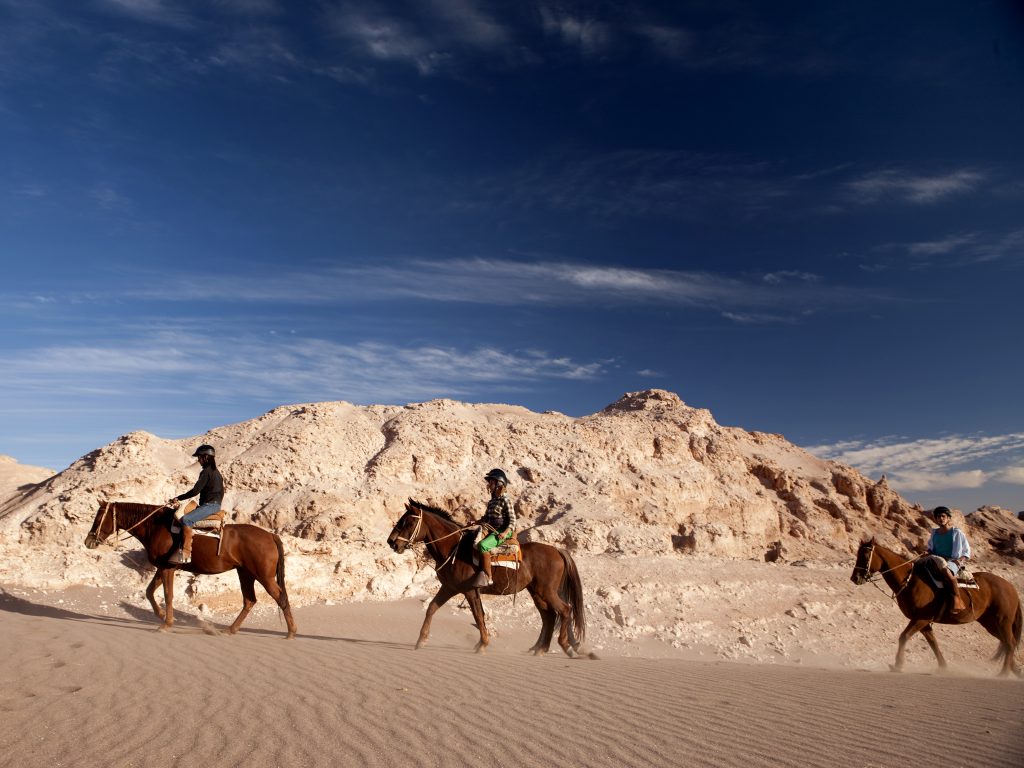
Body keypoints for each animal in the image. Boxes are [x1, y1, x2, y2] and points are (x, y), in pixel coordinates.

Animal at [83, 501, 296, 638]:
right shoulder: (163, 567)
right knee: (249, 600)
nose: (88, 541)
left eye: (99, 516)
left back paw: (291, 632)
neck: (155, 527)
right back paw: (230, 630)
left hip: (263, 576)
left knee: (280, 597)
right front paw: (161, 615)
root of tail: (270, 535)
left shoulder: (167, 568)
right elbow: (150, 592)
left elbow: (168, 595)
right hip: (245, 573)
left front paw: (166, 624)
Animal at [387, 501, 589, 659]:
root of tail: (557, 551)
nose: (392, 542)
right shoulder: (449, 588)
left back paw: (566, 647)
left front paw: (482, 644)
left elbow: (478, 615)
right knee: (549, 616)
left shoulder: (469, 590)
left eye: (408, 522)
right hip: (537, 592)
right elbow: (431, 608)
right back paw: (540, 649)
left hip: (547, 591)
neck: (455, 550)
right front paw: (421, 640)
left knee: (564, 610)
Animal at [851, 536, 1019, 675]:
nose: (855, 578)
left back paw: (1004, 673)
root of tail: (1010, 586)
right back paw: (1015, 670)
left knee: (1010, 643)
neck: (911, 581)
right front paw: (943, 667)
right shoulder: (924, 622)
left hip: (1002, 621)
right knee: (1006, 643)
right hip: (990, 623)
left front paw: (898, 664)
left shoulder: (921, 619)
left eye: (865, 556)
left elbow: (904, 636)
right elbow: (933, 643)